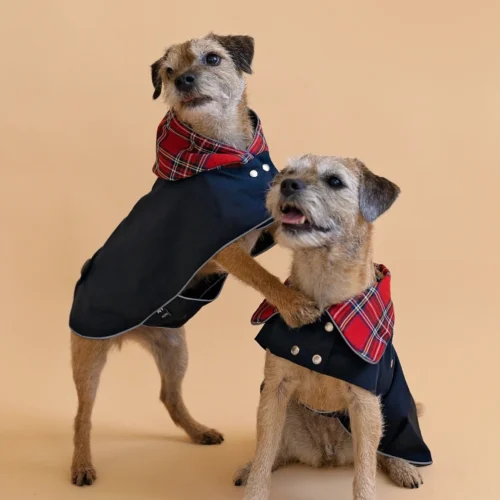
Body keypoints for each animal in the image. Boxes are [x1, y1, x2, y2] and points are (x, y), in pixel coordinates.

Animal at [68, 33, 318, 486]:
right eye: (168, 71)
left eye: (212, 59)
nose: (183, 79)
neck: (224, 154)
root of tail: (134, 333)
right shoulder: (225, 250)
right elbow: (262, 275)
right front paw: (292, 303)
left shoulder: (262, 224)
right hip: (88, 354)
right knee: (83, 414)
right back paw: (81, 464)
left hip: (174, 348)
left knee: (168, 395)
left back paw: (198, 431)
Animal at [236, 154, 432, 498]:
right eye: (288, 172)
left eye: (335, 181)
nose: (287, 184)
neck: (324, 301)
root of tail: (326, 454)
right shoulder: (274, 391)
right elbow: (263, 454)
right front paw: (254, 487)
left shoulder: (365, 404)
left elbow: (365, 472)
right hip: (289, 416)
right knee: (274, 451)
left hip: (390, 415)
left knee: (383, 452)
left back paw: (404, 467)